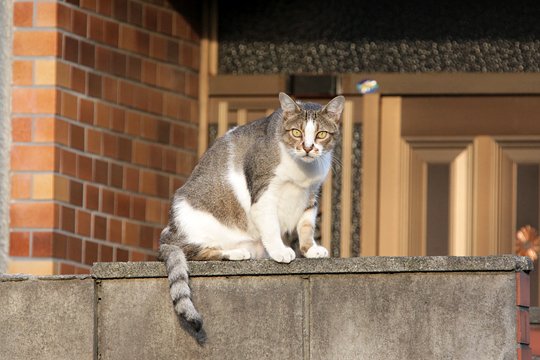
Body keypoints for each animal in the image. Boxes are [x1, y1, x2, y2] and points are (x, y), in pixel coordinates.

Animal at [160, 92, 346, 332]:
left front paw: (310, 250)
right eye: (296, 132)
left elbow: (306, 226)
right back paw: (236, 253)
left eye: (321, 134)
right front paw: (280, 250)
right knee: (193, 252)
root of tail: (169, 233)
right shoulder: (264, 192)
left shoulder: (311, 195)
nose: (307, 147)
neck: (303, 170)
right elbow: (271, 226)